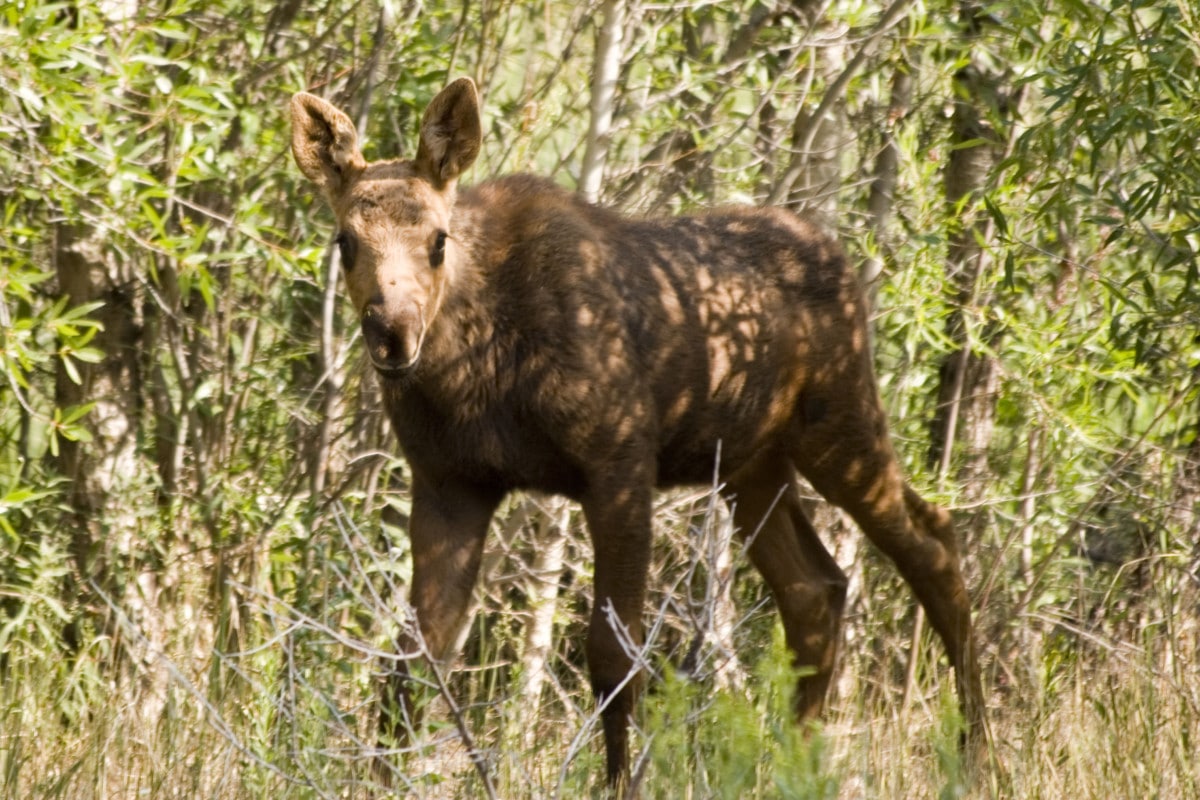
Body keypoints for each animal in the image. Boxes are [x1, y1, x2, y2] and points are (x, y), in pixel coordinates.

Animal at [290, 77, 984, 791]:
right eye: (345, 240)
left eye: (437, 239)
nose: (393, 334)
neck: (471, 369)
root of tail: (840, 255)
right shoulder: (450, 484)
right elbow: (410, 662)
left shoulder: (618, 464)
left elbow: (613, 656)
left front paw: (624, 780)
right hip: (751, 465)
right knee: (815, 589)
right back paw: (792, 762)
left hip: (839, 422)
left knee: (932, 539)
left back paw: (973, 751)